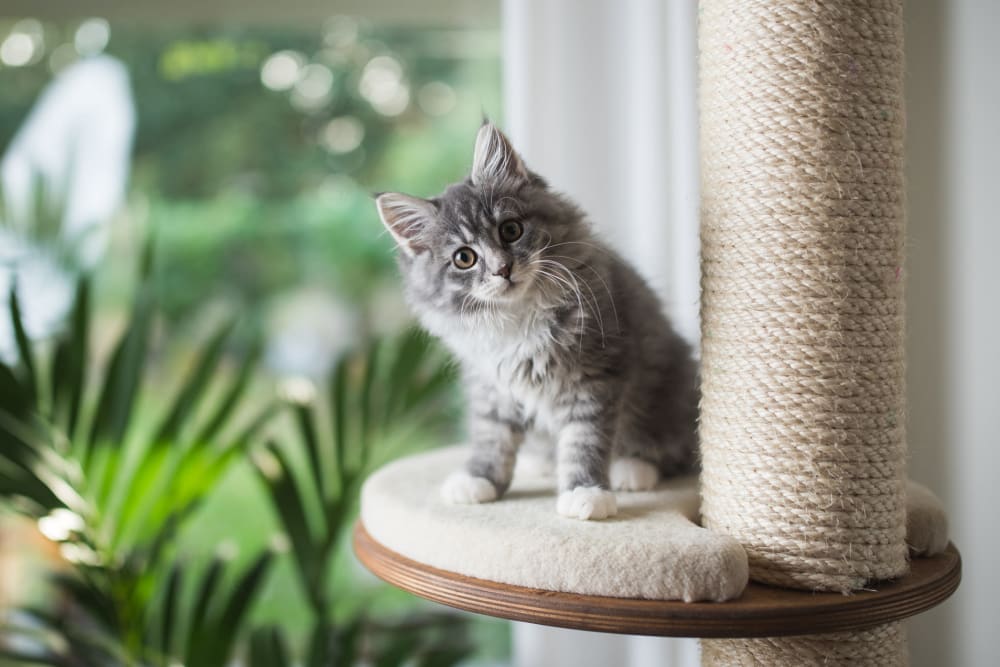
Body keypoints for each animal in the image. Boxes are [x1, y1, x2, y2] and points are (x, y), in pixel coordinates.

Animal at [376, 124, 696, 520]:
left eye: (511, 230)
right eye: (464, 258)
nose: (502, 269)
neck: (516, 317)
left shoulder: (596, 375)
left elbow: (584, 440)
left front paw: (585, 492)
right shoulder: (491, 384)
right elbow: (492, 436)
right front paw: (479, 478)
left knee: (675, 449)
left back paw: (632, 468)